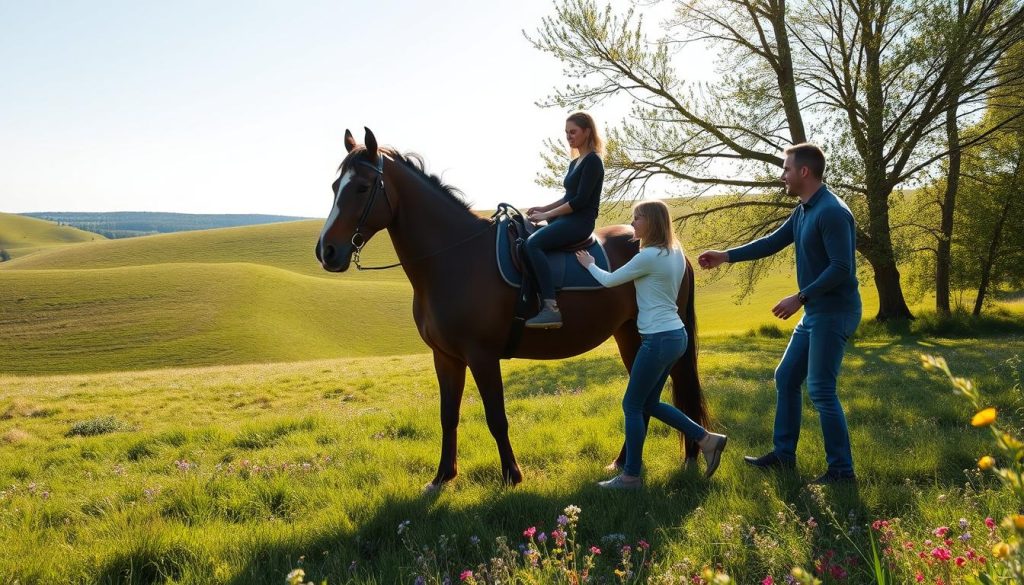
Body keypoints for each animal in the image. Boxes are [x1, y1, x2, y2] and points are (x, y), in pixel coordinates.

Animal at [315, 128, 708, 489]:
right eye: (335, 186)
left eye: (362, 187)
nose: (327, 251)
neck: (454, 258)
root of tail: (671, 246)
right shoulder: (446, 357)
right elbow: (448, 416)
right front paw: (442, 477)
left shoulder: (482, 356)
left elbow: (495, 417)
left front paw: (511, 475)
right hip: (630, 336)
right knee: (643, 400)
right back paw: (624, 461)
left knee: (669, 390)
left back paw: (688, 457)